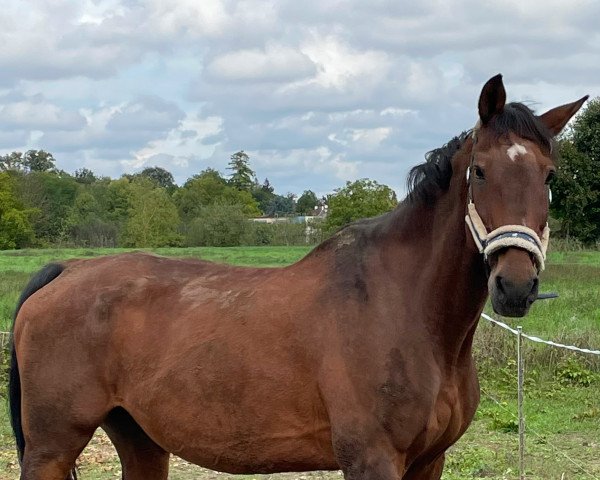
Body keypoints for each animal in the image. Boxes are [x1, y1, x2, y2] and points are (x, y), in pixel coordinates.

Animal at [8, 74, 584, 476]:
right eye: (480, 171)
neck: (404, 307)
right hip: (53, 447)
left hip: (142, 440)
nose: (515, 286)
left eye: (549, 176)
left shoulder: (429, 462)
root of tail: (67, 270)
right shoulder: (372, 459)